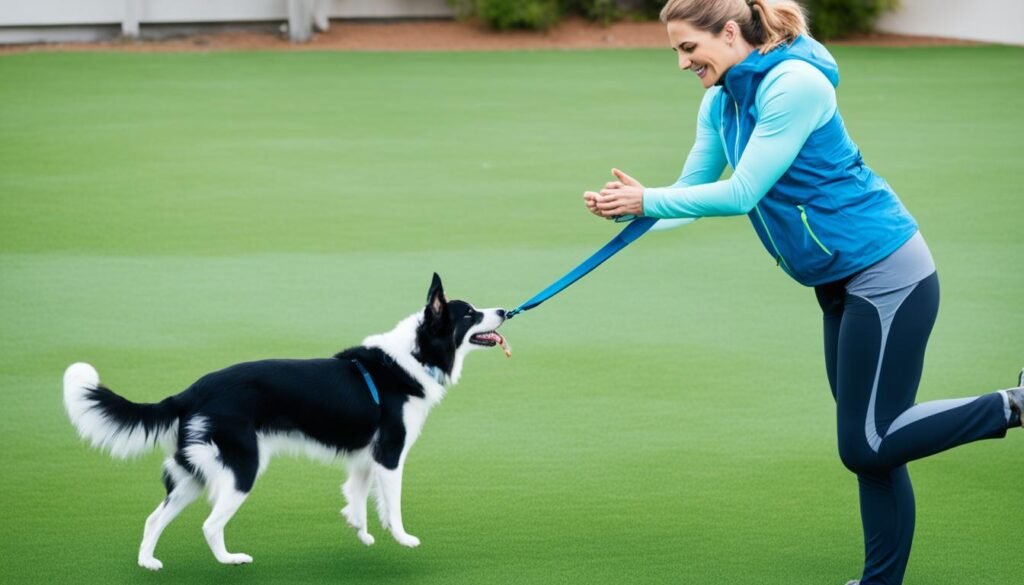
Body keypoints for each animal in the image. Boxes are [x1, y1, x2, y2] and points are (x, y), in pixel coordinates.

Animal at [62, 276, 507, 573]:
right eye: (470, 314)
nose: (504, 311)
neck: (414, 356)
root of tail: (192, 391)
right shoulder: (389, 453)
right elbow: (392, 504)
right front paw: (402, 538)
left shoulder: (364, 455)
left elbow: (358, 496)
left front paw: (361, 532)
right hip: (241, 469)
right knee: (210, 523)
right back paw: (231, 560)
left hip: (194, 473)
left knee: (155, 518)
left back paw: (148, 563)